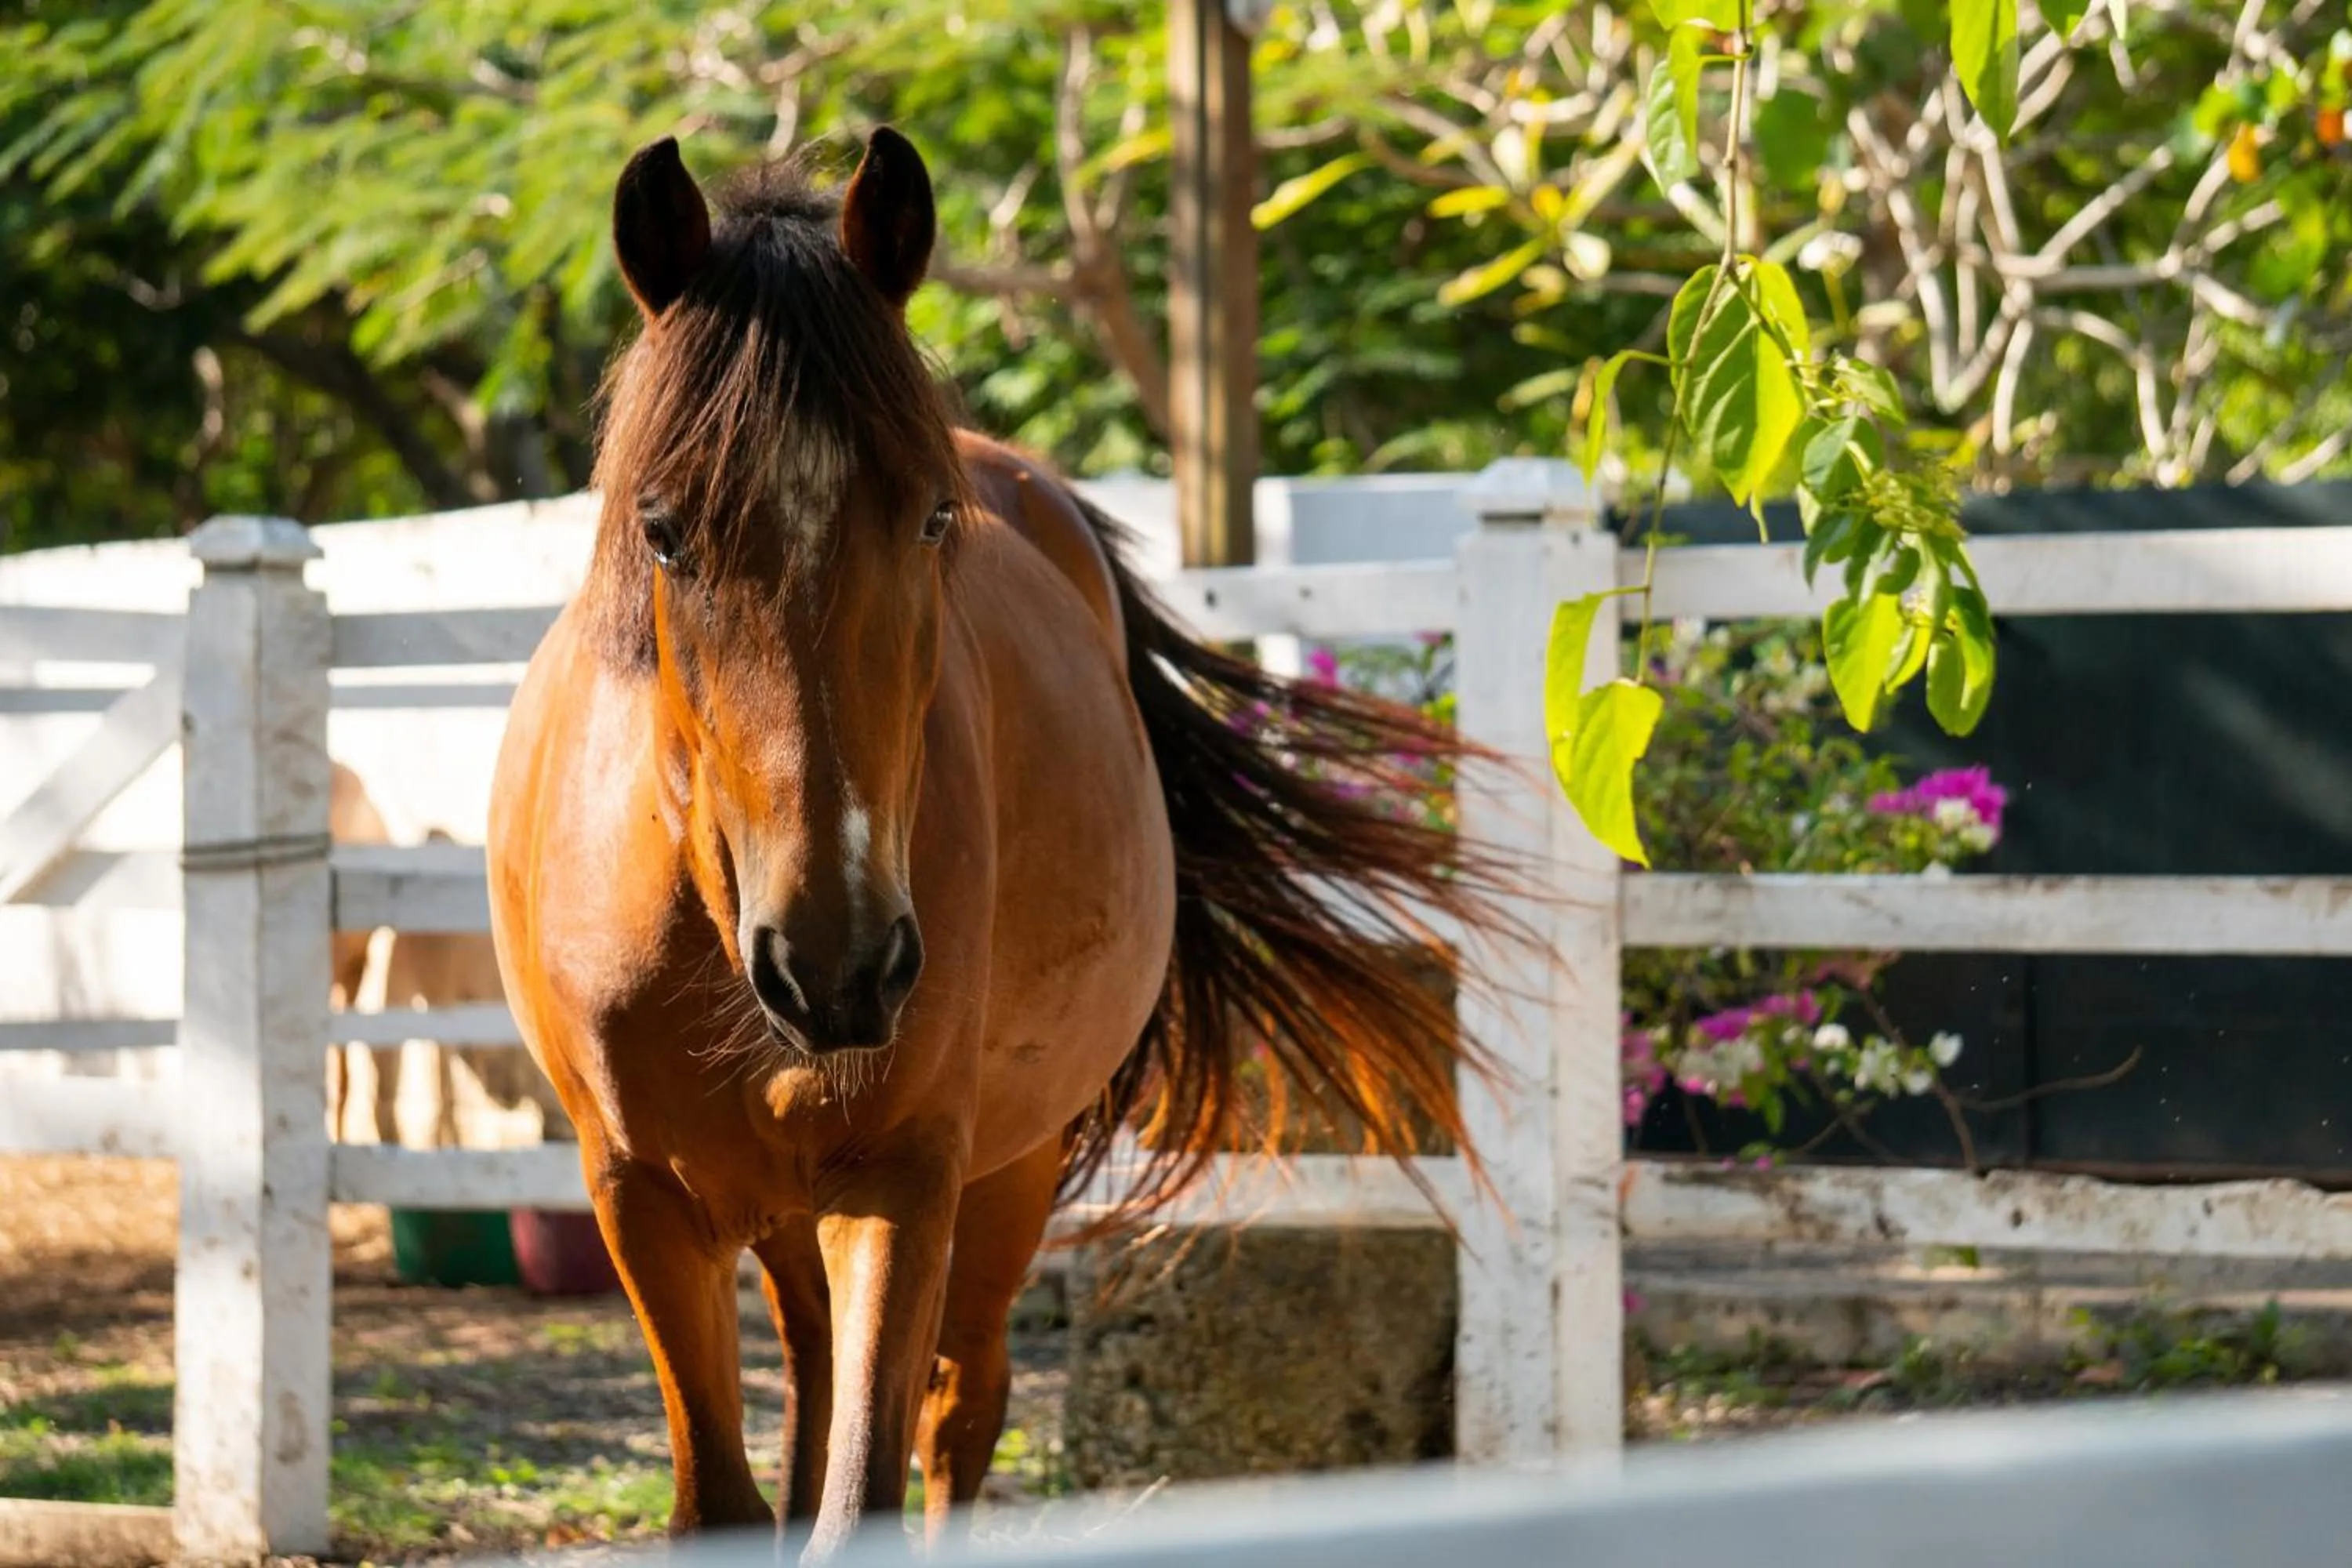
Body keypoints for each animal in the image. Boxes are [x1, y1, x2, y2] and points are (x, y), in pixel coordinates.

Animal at [485, 127, 1513, 1558]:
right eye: (664, 530)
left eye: (930, 519)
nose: (839, 966)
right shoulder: (641, 1199)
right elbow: (724, 1499)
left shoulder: (905, 1183)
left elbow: (861, 1489)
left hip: (1012, 1168)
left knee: (957, 1414)